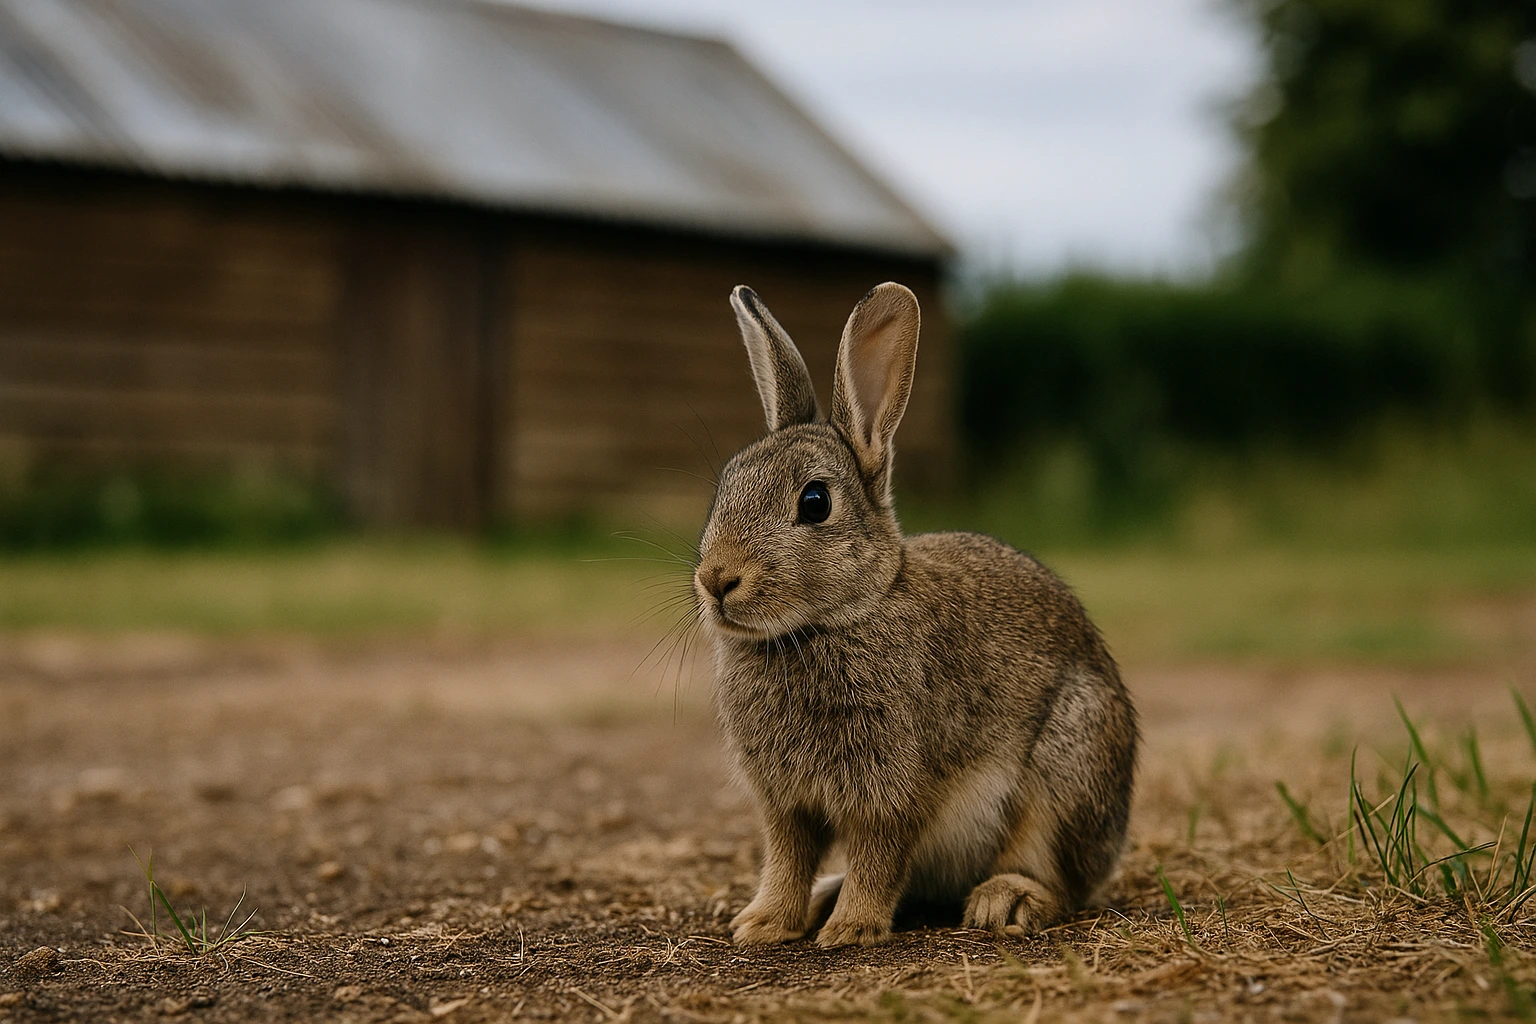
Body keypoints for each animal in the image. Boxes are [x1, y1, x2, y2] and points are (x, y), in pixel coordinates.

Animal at [693, 282, 1138, 948]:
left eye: (815, 502)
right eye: (725, 487)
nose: (716, 580)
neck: (834, 620)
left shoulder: (893, 791)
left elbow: (878, 858)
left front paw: (852, 930)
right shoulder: (786, 805)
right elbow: (788, 859)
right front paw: (764, 923)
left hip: (1067, 770)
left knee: (1060, 880)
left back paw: (1005, 902)